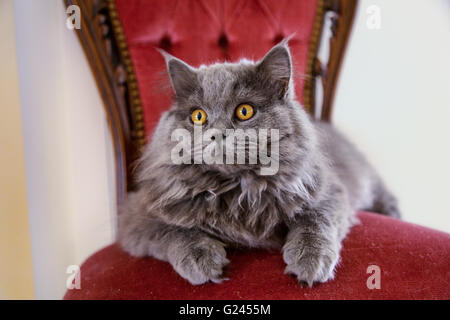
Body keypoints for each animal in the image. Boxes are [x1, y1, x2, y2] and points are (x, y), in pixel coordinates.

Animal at [118, 42, 400, 284]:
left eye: (244, 111)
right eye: (198, 116)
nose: (216, 134)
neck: (239, 190)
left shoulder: (328, 191)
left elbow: (315, 221)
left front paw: (311, 261)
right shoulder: (138, 214)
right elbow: (175, 230)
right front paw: (201, 259)